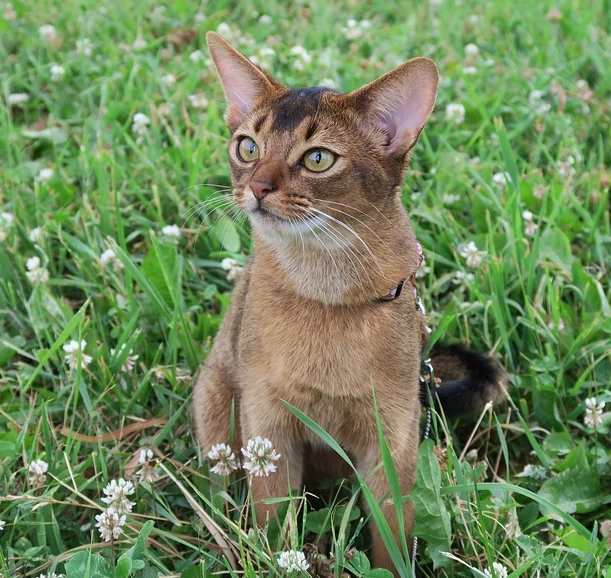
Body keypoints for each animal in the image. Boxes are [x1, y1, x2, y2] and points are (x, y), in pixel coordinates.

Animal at [195, 31, 506, 572]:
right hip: (215, 402)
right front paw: (277, 559)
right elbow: (274, 524)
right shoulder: (267, 426)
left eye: (318, 158)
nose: (256, 187)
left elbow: (393, 536)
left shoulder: (393, 436)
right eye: (247, 146)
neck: (327, 296)